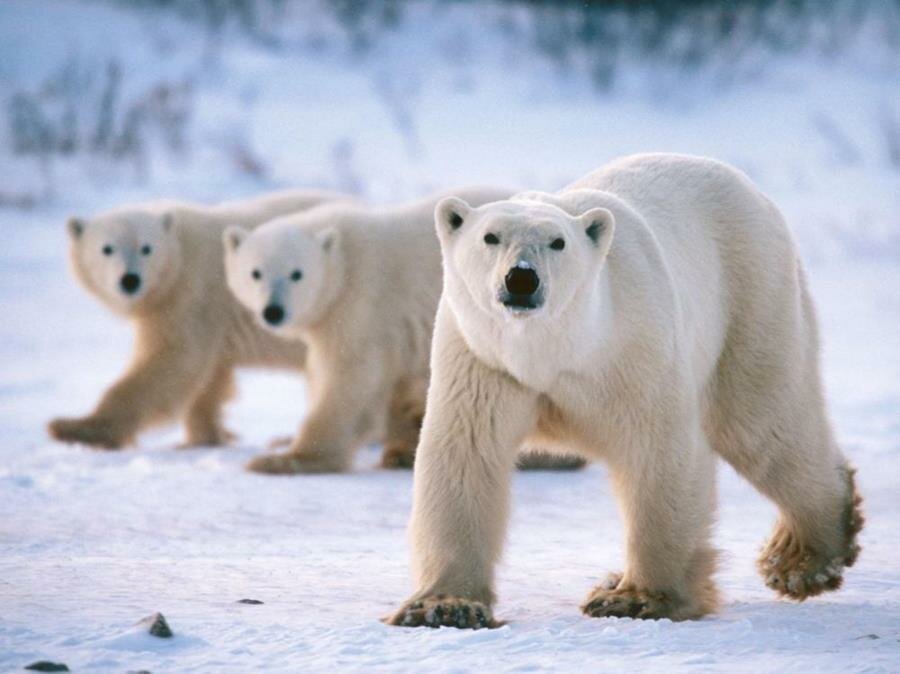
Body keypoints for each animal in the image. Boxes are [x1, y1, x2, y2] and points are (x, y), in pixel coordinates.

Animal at [48, 189, 352, 448]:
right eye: (107, 248)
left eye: (146, 248)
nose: (130, 280)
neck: (180, 252)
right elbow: (209, 378)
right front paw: (206, 436)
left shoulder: (191, 295)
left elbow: (171, 361)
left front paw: (72, 427)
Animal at [223, 185, 520, 472]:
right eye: (255, 273)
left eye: (297, 274)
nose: (273, 311)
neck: (342, 259)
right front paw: (401, 451)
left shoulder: (362, 303)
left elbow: (349, 376)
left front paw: (285, 459)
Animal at [388, 155, 864, 628]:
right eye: (490, 236)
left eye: (558, 242)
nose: (521, 279)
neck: (555, 349)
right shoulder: (483, 360)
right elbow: (465, 454)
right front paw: (444, 605)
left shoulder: (633, 347)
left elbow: (657, 450)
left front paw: (636, 598)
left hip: (750, 296)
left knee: (760, 424)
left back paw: (802, 558)